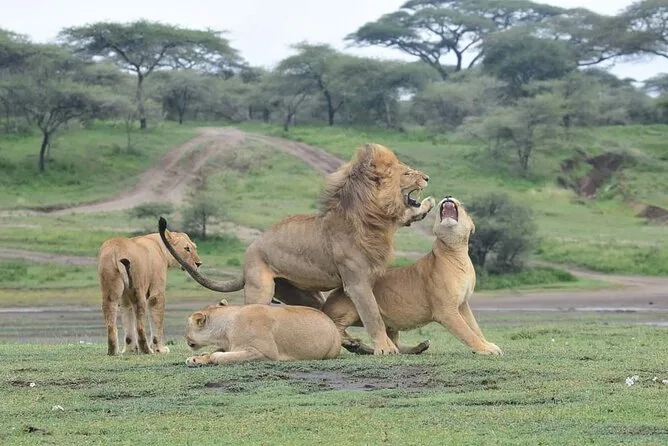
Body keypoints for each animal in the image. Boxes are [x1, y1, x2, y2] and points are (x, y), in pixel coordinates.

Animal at [160, 143, 432, 355]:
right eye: (408, 173)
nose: (427, 178)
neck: (370, 218)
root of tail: (247, 258)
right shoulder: (356, 282)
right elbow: (373, 315)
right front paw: (385, 348)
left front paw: (425, 206)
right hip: (262, 289)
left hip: (306, 295)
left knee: (328, 320)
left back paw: (376, 345)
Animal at [184, 299, 342, 366]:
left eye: (187, 326)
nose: (185, 337)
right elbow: (213, 352)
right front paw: (196, 359)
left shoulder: (265, 353)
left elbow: (219, 356)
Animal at [323, 196, 503, 356]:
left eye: (463, 206)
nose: (447, 197)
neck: (456, 251)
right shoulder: (446, 310)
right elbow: (467, 332)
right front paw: (486, 349)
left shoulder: (462, 304)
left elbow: (475, 328)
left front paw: (487, 344)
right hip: (355, 304)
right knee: (336, 327)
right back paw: (352, 343)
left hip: (388, 322)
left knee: (394, 343)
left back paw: (418, 347)